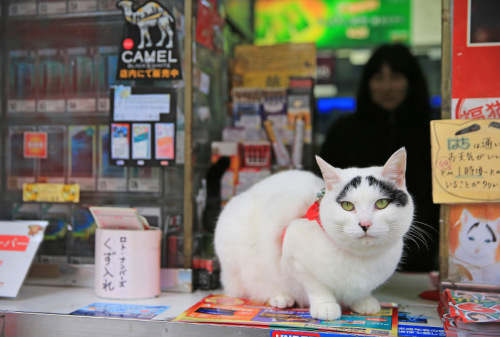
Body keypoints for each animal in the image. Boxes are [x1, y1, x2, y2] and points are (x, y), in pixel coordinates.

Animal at [215, 148, 414, 318]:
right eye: (347, 206)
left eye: (381, 203)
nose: (365, 224)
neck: (360, 259)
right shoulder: (295, 257)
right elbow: (316, 286)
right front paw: (325, 305)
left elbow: (362, 291)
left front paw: (363, 300)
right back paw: (279, 296)